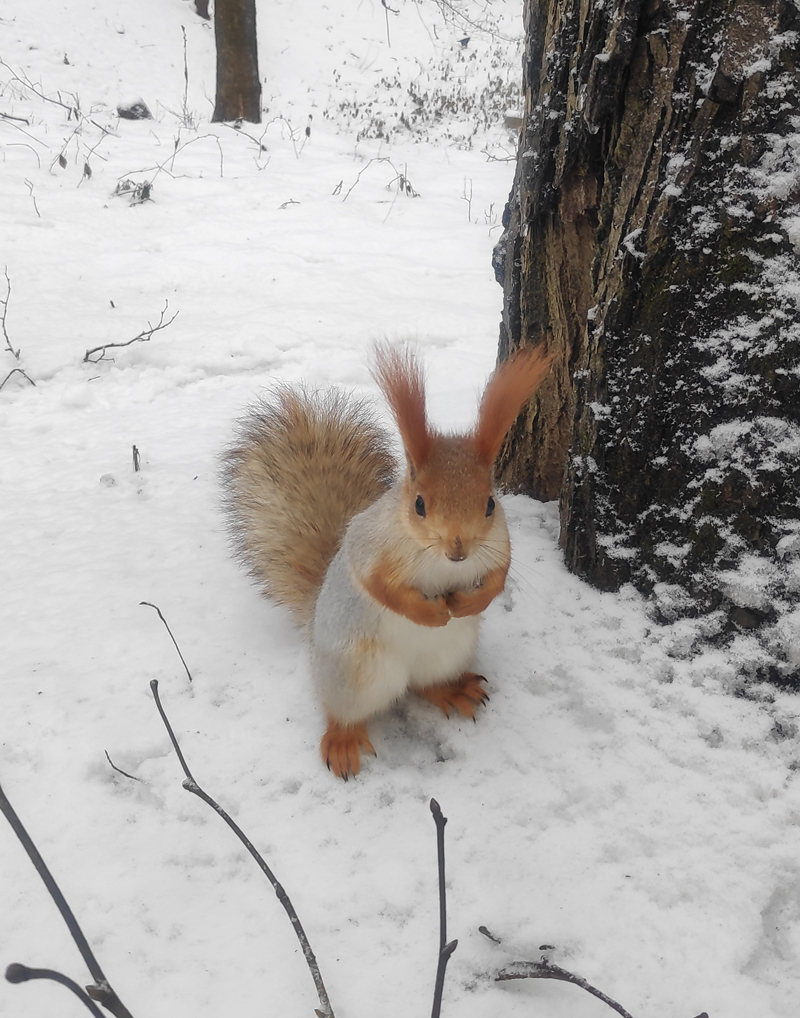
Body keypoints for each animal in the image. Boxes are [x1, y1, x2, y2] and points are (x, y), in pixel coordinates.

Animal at [220, 344, 553, 777]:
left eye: (490, 504)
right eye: (420, 504)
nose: (459, 548)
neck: (442, 563)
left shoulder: (499, 544)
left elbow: (498, 576)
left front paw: (468, 603)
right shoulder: (370, 546)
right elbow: (378, 586)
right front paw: (431, 613)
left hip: (448, 655)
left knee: (427, 684)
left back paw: (453, 690)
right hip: (353, 676)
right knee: (342, 712)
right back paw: (343, 741)